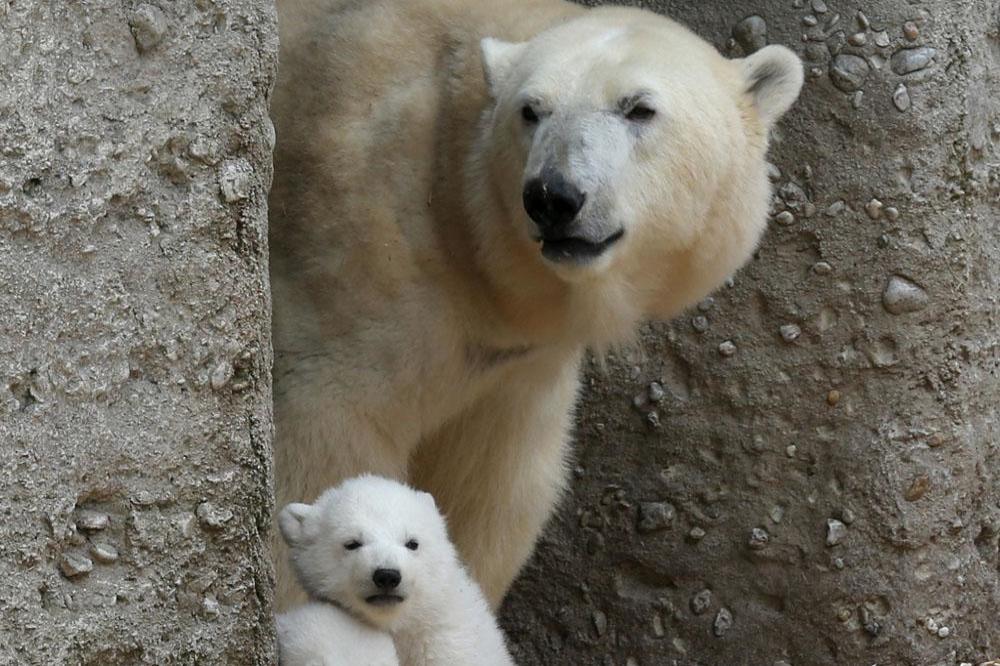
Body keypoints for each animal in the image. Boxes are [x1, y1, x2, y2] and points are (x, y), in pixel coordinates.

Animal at [272, 0, 804, 608]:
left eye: (639, 108)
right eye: (531, 110)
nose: (553, 196)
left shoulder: (515, 366)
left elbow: (491, 491)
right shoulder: (355, 282)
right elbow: (326, 458)